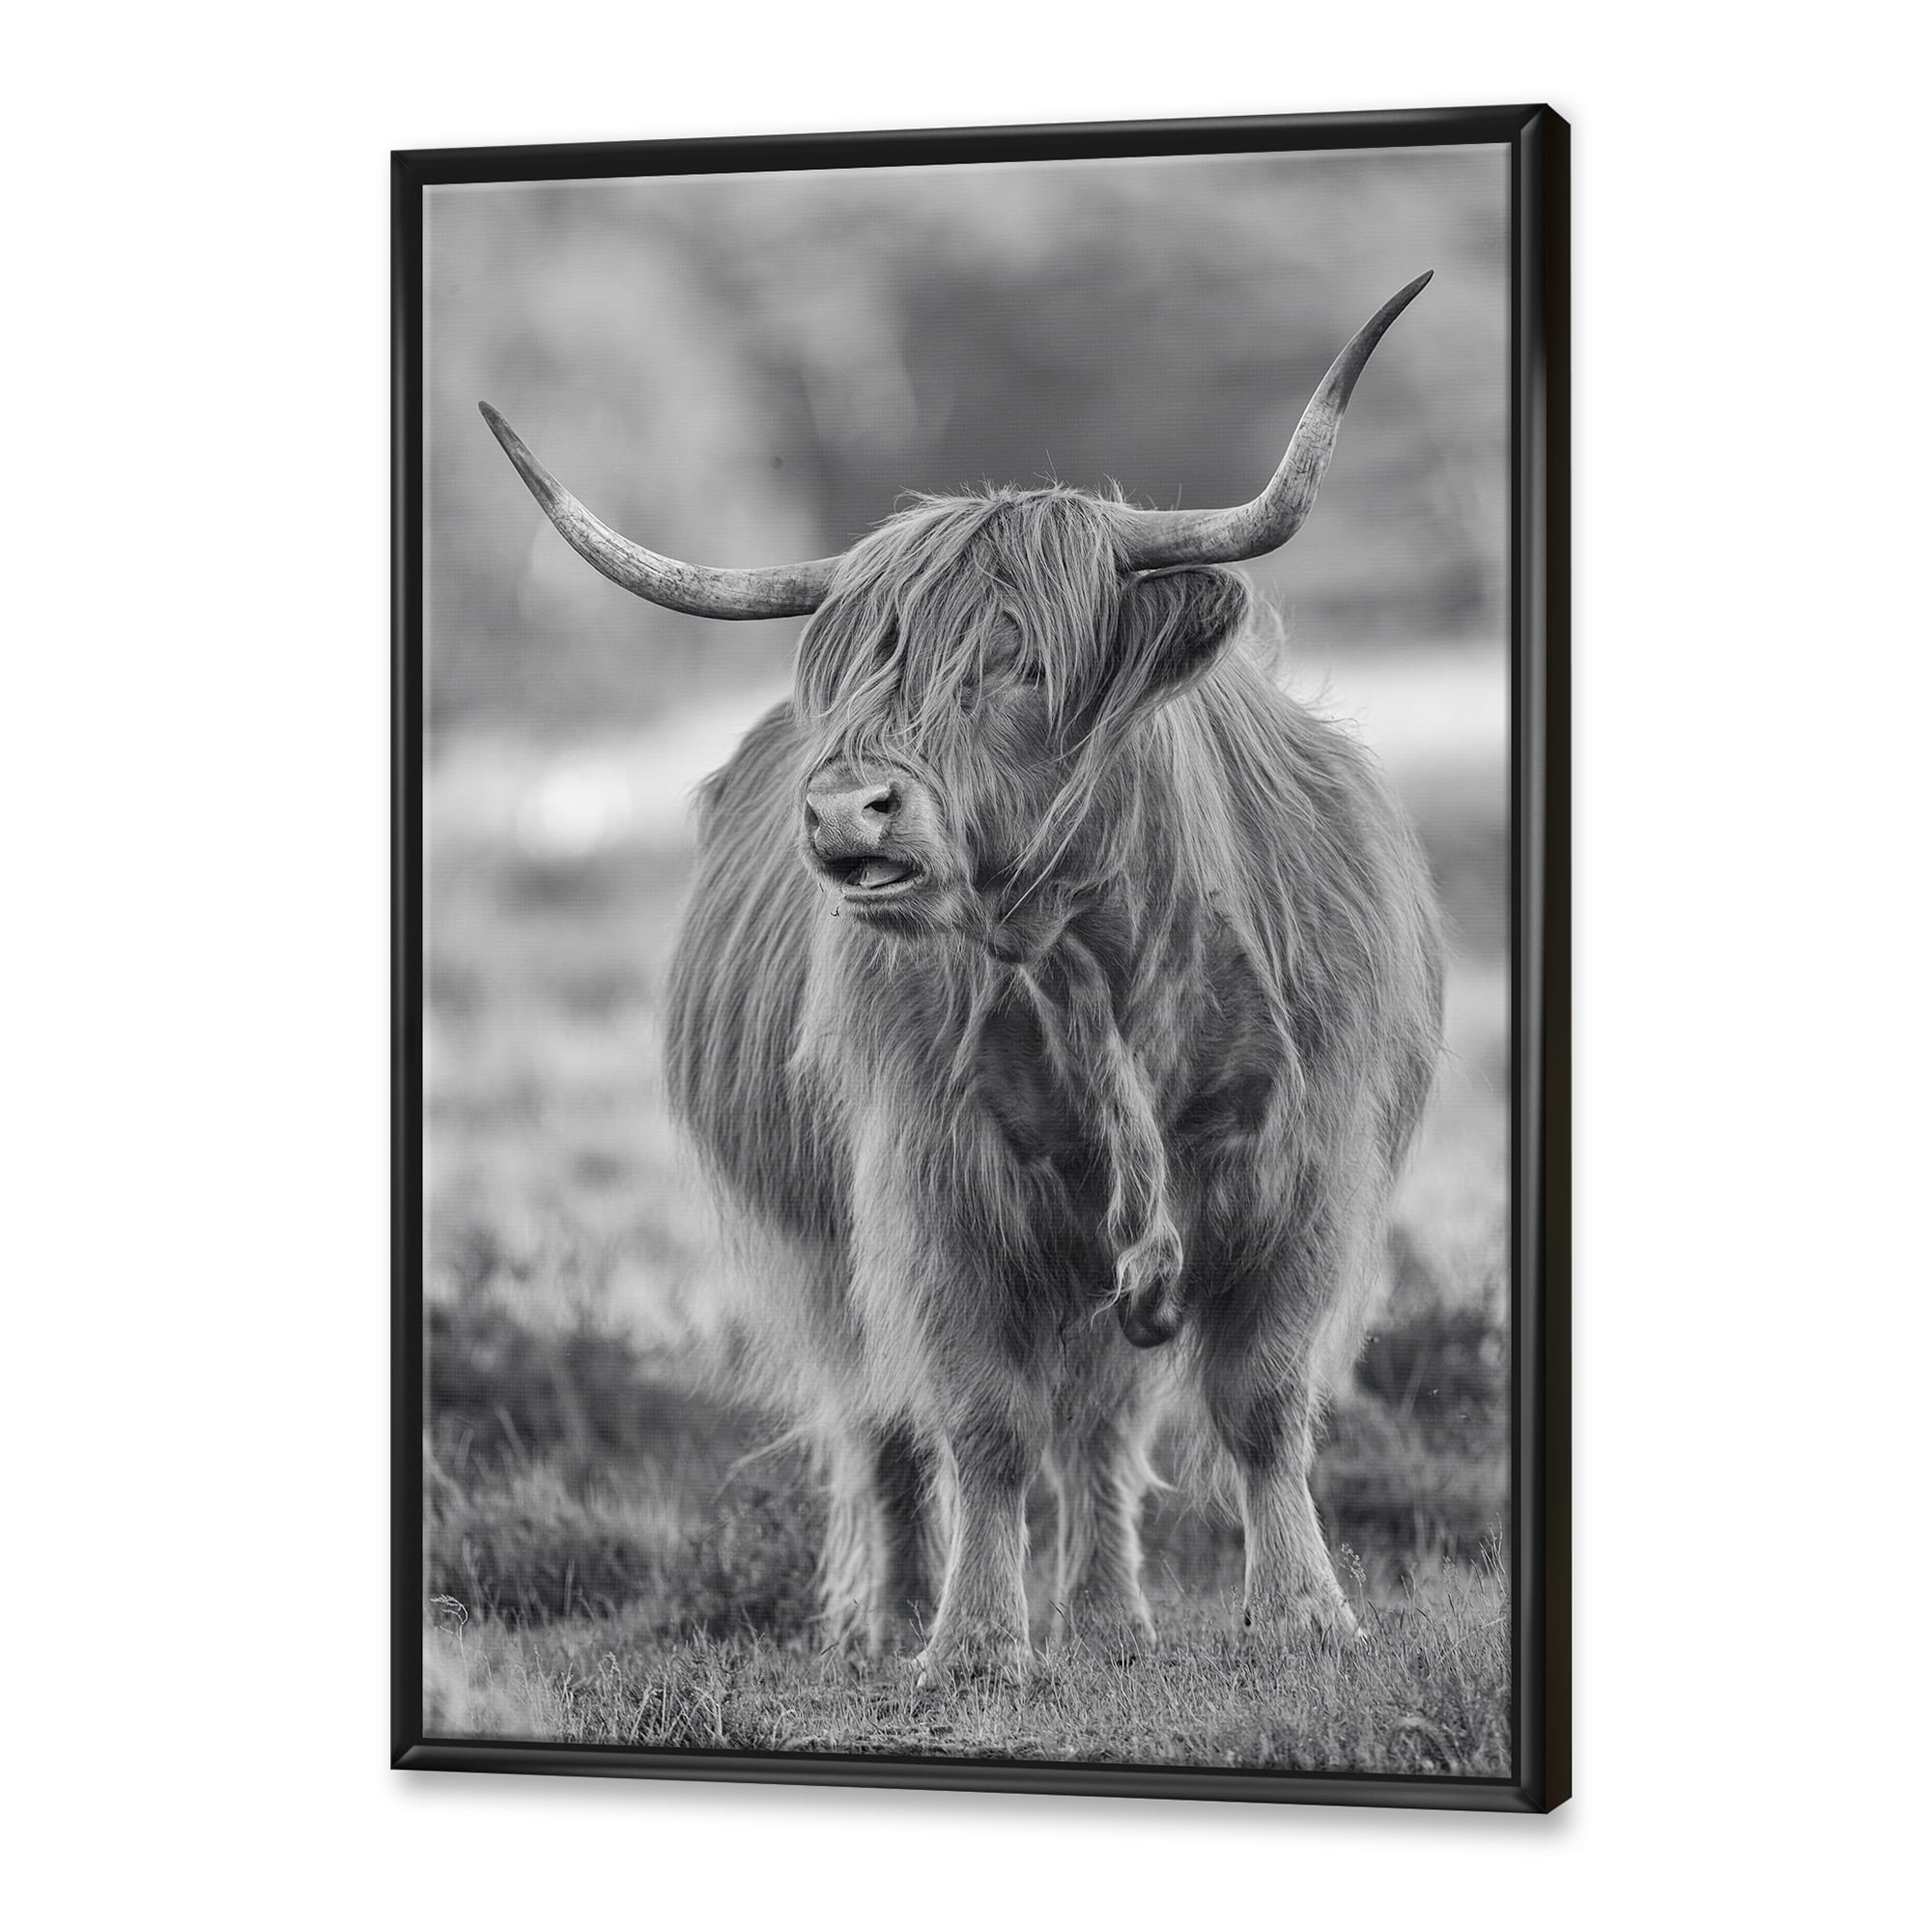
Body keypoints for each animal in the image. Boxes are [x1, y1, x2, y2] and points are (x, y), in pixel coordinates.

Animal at [480, 273, 1444, 1679]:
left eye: (1024, 661)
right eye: (859, 670)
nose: (845, 807)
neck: (1100, 967)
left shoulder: (1299, 1167)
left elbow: (1261, 1401)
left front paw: (1303, 1615)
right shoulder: (934, 1190)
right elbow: (980, 1420)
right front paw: (977, 1642)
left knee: (1100, 1422)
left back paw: (1106, 1612)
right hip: (828, 1247)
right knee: (884, 1415)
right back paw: (889, 1617)